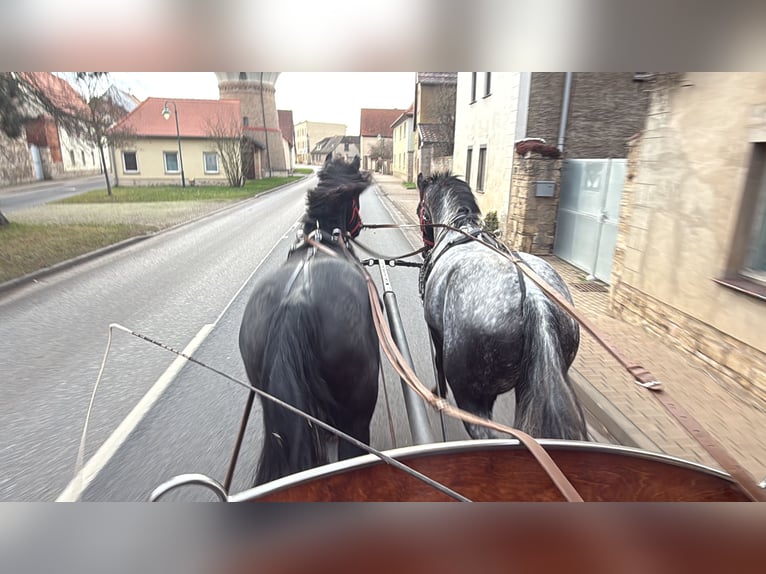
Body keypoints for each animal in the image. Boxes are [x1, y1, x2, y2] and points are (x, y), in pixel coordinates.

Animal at [416, 173, 584, 444]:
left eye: (421, 210)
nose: (426, 249)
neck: (460, 229)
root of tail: (536, 300)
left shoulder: (435, 332)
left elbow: (437, 361)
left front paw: (438, 392)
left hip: (472, 396)